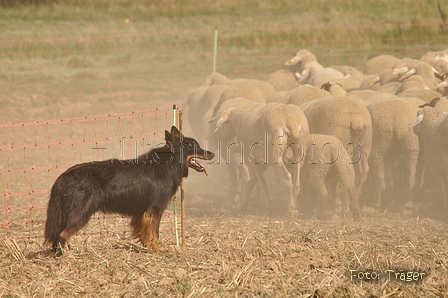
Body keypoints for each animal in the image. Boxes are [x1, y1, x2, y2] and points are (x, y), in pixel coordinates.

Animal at [44, 125, 214, 254]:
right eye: (197, 147)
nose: (212, 153)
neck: (169, 162)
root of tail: (63, 177)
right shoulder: (154, 210)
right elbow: (155, 233)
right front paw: (158, 250)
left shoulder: (141, 213)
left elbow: (144, 232)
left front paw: (147, 247)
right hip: (81, 212)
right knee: (63, 235)